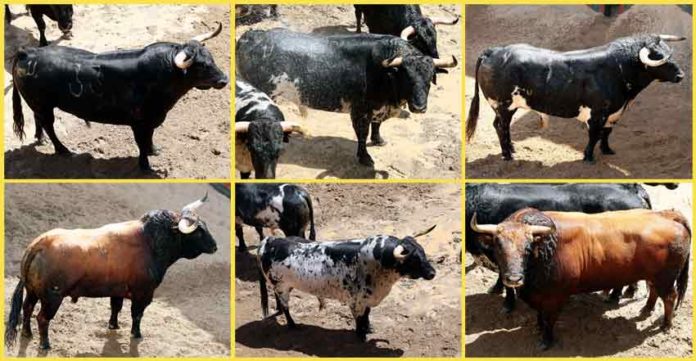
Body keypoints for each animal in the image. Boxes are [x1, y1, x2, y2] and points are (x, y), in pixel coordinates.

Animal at [4, 194, 218, 348]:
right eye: (199, 231)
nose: (215, 246)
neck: (151, 242)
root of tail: (39, 244)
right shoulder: (143, 294)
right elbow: (137, 315)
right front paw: (136, 334)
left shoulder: (117, 291)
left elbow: (116, 308)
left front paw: (113, 326)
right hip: (52, 298)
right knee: (42, 318)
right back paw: (45, 344)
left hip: (33, 291)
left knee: (27, 308)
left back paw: (27, 333)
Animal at [11, 22, 228, 172]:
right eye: (201, 66)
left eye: (212, 58)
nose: (224, 79)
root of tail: (27, 52)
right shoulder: (139, 122)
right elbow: (141, 143)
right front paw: (145, 166)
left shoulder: (150, 122)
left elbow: (149, 139)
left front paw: (154, 150)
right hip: (43, 104)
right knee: (48, 124)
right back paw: (63, 150)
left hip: (39, 104)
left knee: (38, 120)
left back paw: (41, 139)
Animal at [237, 28, 460, 167]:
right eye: (407, 76)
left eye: (430, 77)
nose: (419, 107)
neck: (384, 73)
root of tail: (252, 35)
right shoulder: (360, 110)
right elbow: (362, 134)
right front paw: (365, 157)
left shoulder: (379, 108)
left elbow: (377, 126)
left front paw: (378, 140)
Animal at [464, 34, 688, 162]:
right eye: (658, 57)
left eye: (668, 52)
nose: (681, 75)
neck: (620, 69)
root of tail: (493, 51)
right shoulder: (597, 113)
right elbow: (594, 135)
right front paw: (589, 157)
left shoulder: (614, 113)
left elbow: (607, 133)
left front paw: (607, 151)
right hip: (504, 105)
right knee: (501, 126)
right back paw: (508, 155)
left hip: (506, 107)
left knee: (501, 126)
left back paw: (511, 148)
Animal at [470, 207, 688, 350]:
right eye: (498, 246)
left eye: (528, 247)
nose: (514, 279)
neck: (547, 249)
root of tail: (668, 215)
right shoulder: (539, 295)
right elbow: (540, 315)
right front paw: (538, 329)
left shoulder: (555, 297)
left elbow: (549, 319)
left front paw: (546, 340)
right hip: (654, 276)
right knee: (654, 292)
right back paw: (646, 309)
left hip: (666, 278)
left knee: (669, 297)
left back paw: (666, 324)